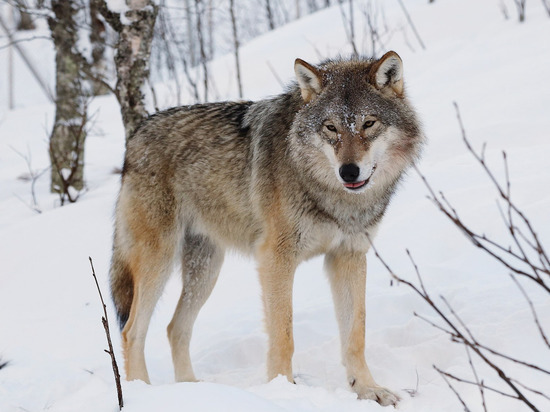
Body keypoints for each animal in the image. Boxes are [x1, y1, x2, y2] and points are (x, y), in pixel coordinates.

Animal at [110, 50, 424, 406]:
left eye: (369, 123)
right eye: (330, 127)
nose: (348, 171)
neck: (331, 196)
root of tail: (136, 134)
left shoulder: (348, 256)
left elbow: (356, 334)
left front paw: (368, 389)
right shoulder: (276, 258)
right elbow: (283, 335)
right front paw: (284, 390)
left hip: (206, 270)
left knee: (175, 328)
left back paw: (195, 390)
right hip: (158, 262)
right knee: (131, 331)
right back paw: (142, 393)